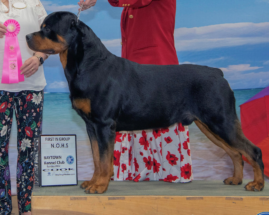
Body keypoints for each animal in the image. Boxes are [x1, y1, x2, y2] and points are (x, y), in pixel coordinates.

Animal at [26, 11, 262, 193]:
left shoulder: (104, 124)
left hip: (221, 120)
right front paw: (93, 181)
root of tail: (219, 73)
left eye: (47, 28)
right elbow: (96, 158)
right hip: (210, 125)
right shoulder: (92, 126)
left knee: (253, 151)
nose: (27, 36)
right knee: (236, 152)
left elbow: (104, 159)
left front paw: (100, 186)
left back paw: (257, 184)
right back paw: (236, 179)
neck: (87, 64)